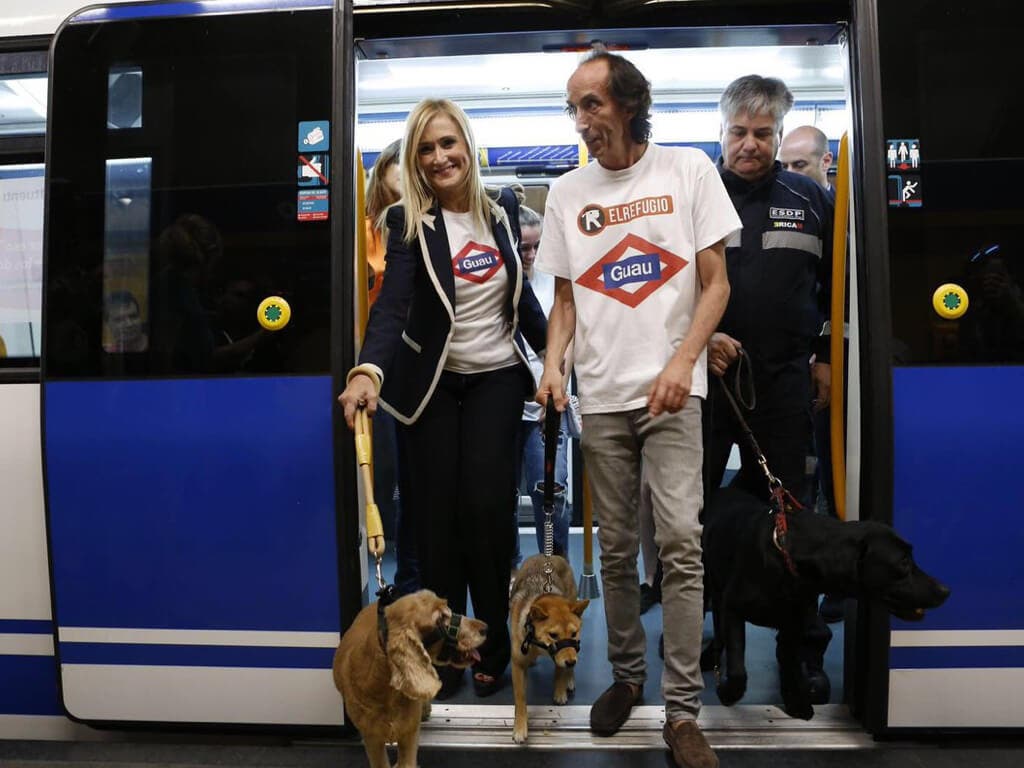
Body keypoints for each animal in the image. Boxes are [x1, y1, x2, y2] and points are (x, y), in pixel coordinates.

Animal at [507, 552, 589, 745]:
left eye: (573, 633)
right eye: (553, 635)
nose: (571, 662)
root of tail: (547, 555)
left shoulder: (566, 653)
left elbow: (559, 672)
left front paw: (560, 690)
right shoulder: (517, 664)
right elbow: (520, 698)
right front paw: (520, 728)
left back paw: (569, 679)